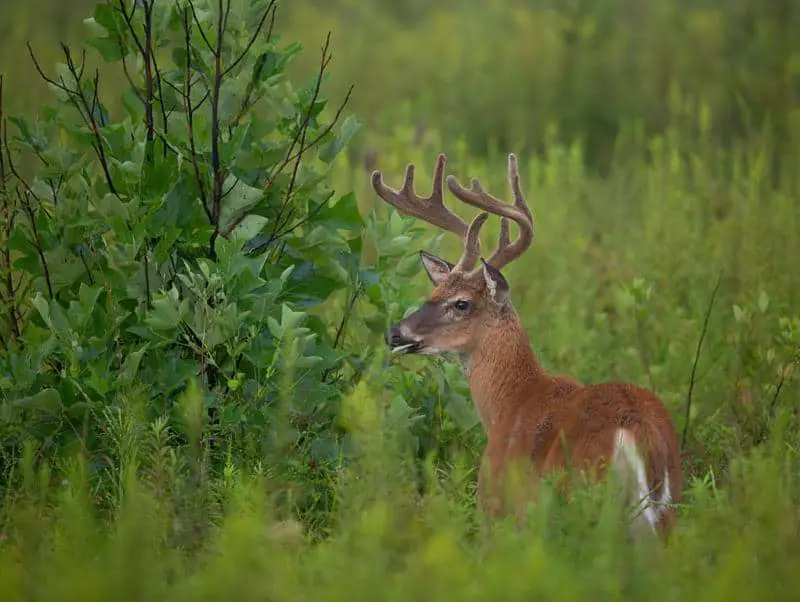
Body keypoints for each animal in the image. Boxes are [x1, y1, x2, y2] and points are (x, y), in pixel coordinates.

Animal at [374, 152, 680, 536]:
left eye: (461, 303)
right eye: (433, 292)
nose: (395, 332)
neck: (510, 402)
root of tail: (639, 432)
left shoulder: (497, 504)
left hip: (582, 503)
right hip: (666, 512)